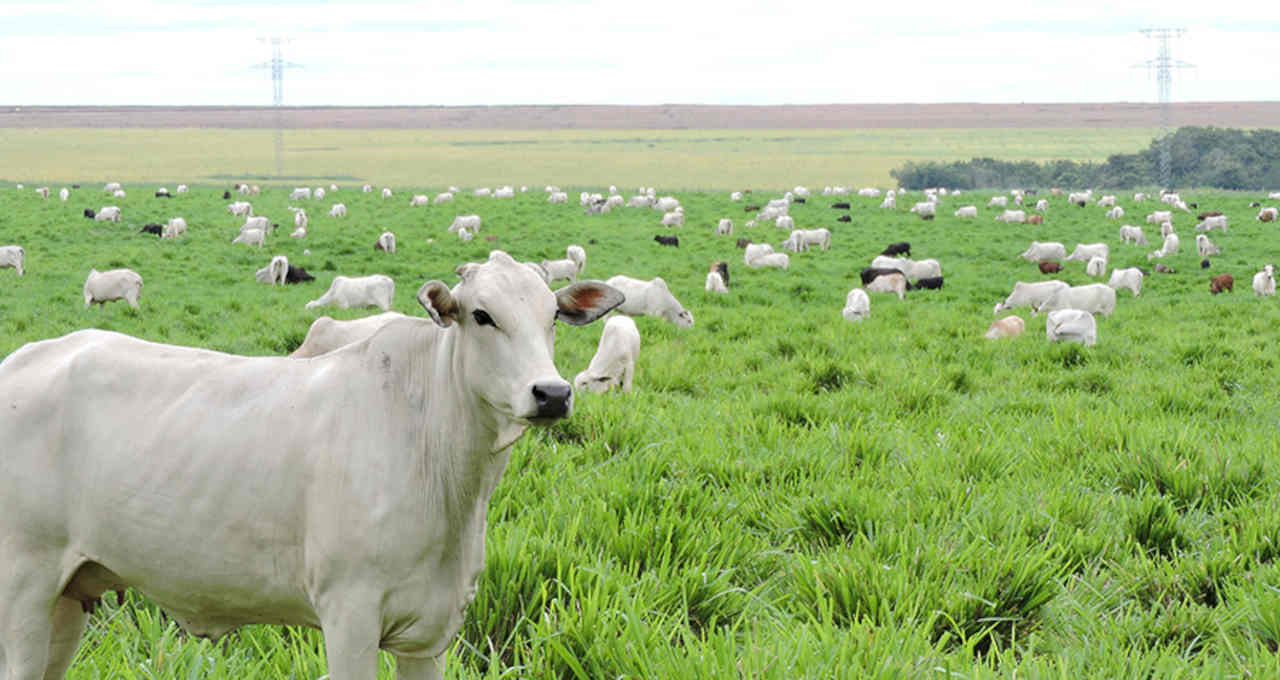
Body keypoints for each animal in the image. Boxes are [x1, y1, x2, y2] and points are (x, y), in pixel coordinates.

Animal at [0, 249, 619, 680]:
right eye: (483, 316)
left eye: (553, 316)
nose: (552, 393)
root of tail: (26, 357)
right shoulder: (350, 613)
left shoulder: (430, 633)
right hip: (24, 585)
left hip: (68, 596)